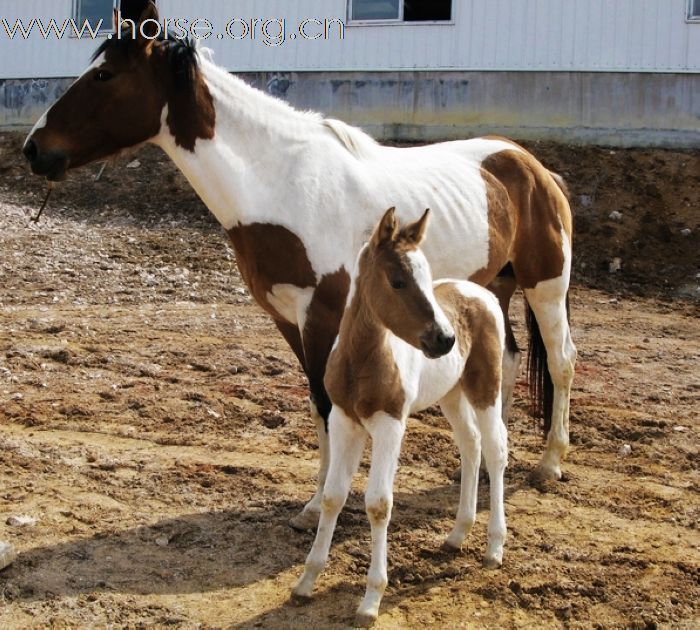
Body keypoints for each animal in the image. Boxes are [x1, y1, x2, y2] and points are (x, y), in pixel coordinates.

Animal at [24, 2, 576, 532]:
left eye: (104, 75)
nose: (34, 149)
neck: (284, 184)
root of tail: (533, 166)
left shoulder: (323, 315)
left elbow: (330, 404)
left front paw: (322, 506)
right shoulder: (288, 317)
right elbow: (316, 402)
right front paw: (317, 502)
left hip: (545, 286)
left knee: (561, 360)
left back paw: (549, 464)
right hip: (494, 287)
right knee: (504, 362)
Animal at [294, 209, 508, 628]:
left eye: (426, 278)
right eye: (398, 280)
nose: (445, 339)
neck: (362, 360)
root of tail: (483, 293)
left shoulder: (390, 425)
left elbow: (379, 503)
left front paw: (371, 600)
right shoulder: (343, 421)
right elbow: (333, 495)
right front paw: (307, 581)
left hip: (485, 387)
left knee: (495, 450)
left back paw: (494, 548)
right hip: (451, 394)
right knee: (470, 445)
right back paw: (457, 534)